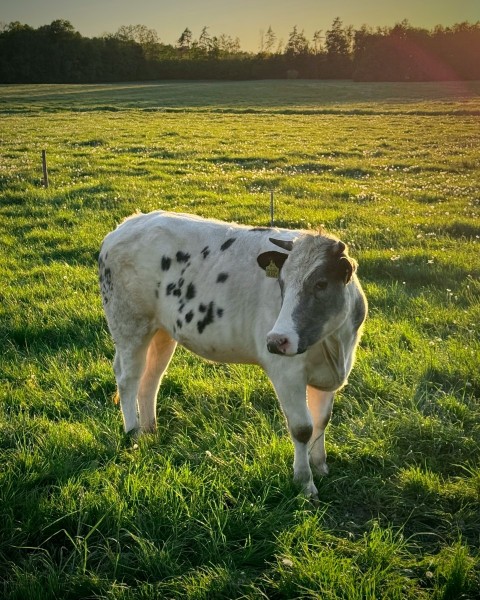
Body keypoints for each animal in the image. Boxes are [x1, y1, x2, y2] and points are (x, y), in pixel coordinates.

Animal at [97, 209, 368, 500]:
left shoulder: (329, 374)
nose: (276, 340)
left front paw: (320, 466)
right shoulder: (287, 371)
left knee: (151, 380)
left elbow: (322, 420)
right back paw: (134, 434)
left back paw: (151, 431)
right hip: (129, 324)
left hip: (162, 331)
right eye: (282, 283)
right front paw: (305, 483)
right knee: (128, 379)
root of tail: (130, 223)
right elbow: (302, 428)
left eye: (321, 283)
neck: (335, 346)